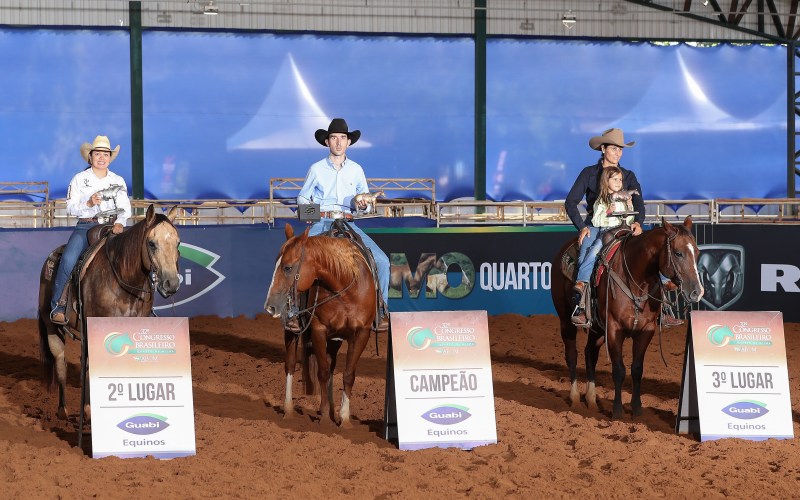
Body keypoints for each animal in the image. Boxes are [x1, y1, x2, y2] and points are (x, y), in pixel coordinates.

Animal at [37, 204, 181, 419]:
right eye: (152, 243)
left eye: (177, 243)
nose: (171, 283)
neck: (123, 279)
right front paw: (90, 410)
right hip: (51, 327)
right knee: (61, 362)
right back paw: (63, 410)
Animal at [264, 223, 377, 428]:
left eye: (287, 267)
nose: (270, 306)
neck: (344, 288)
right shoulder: (318, 330)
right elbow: (323, 372)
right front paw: (324, 418)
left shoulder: (361, 333)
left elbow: (348, 374)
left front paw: (344, 418)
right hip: (291, 330)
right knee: (290, 365)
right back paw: (288, 410)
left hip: (335, 339)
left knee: (332, 366)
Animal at [551, 216, 704, 419]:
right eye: (678, 253)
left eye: (697, 252)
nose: (697, 292)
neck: (636, 280)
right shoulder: (614, 330)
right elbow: (619, 370)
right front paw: (617, 411)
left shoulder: (646, 331)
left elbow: (637, 369)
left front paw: (637, 409)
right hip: (565, 319)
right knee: (571, 354)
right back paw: (575, 397)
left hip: (597, 329)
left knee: (590, 353)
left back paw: (591, 399)